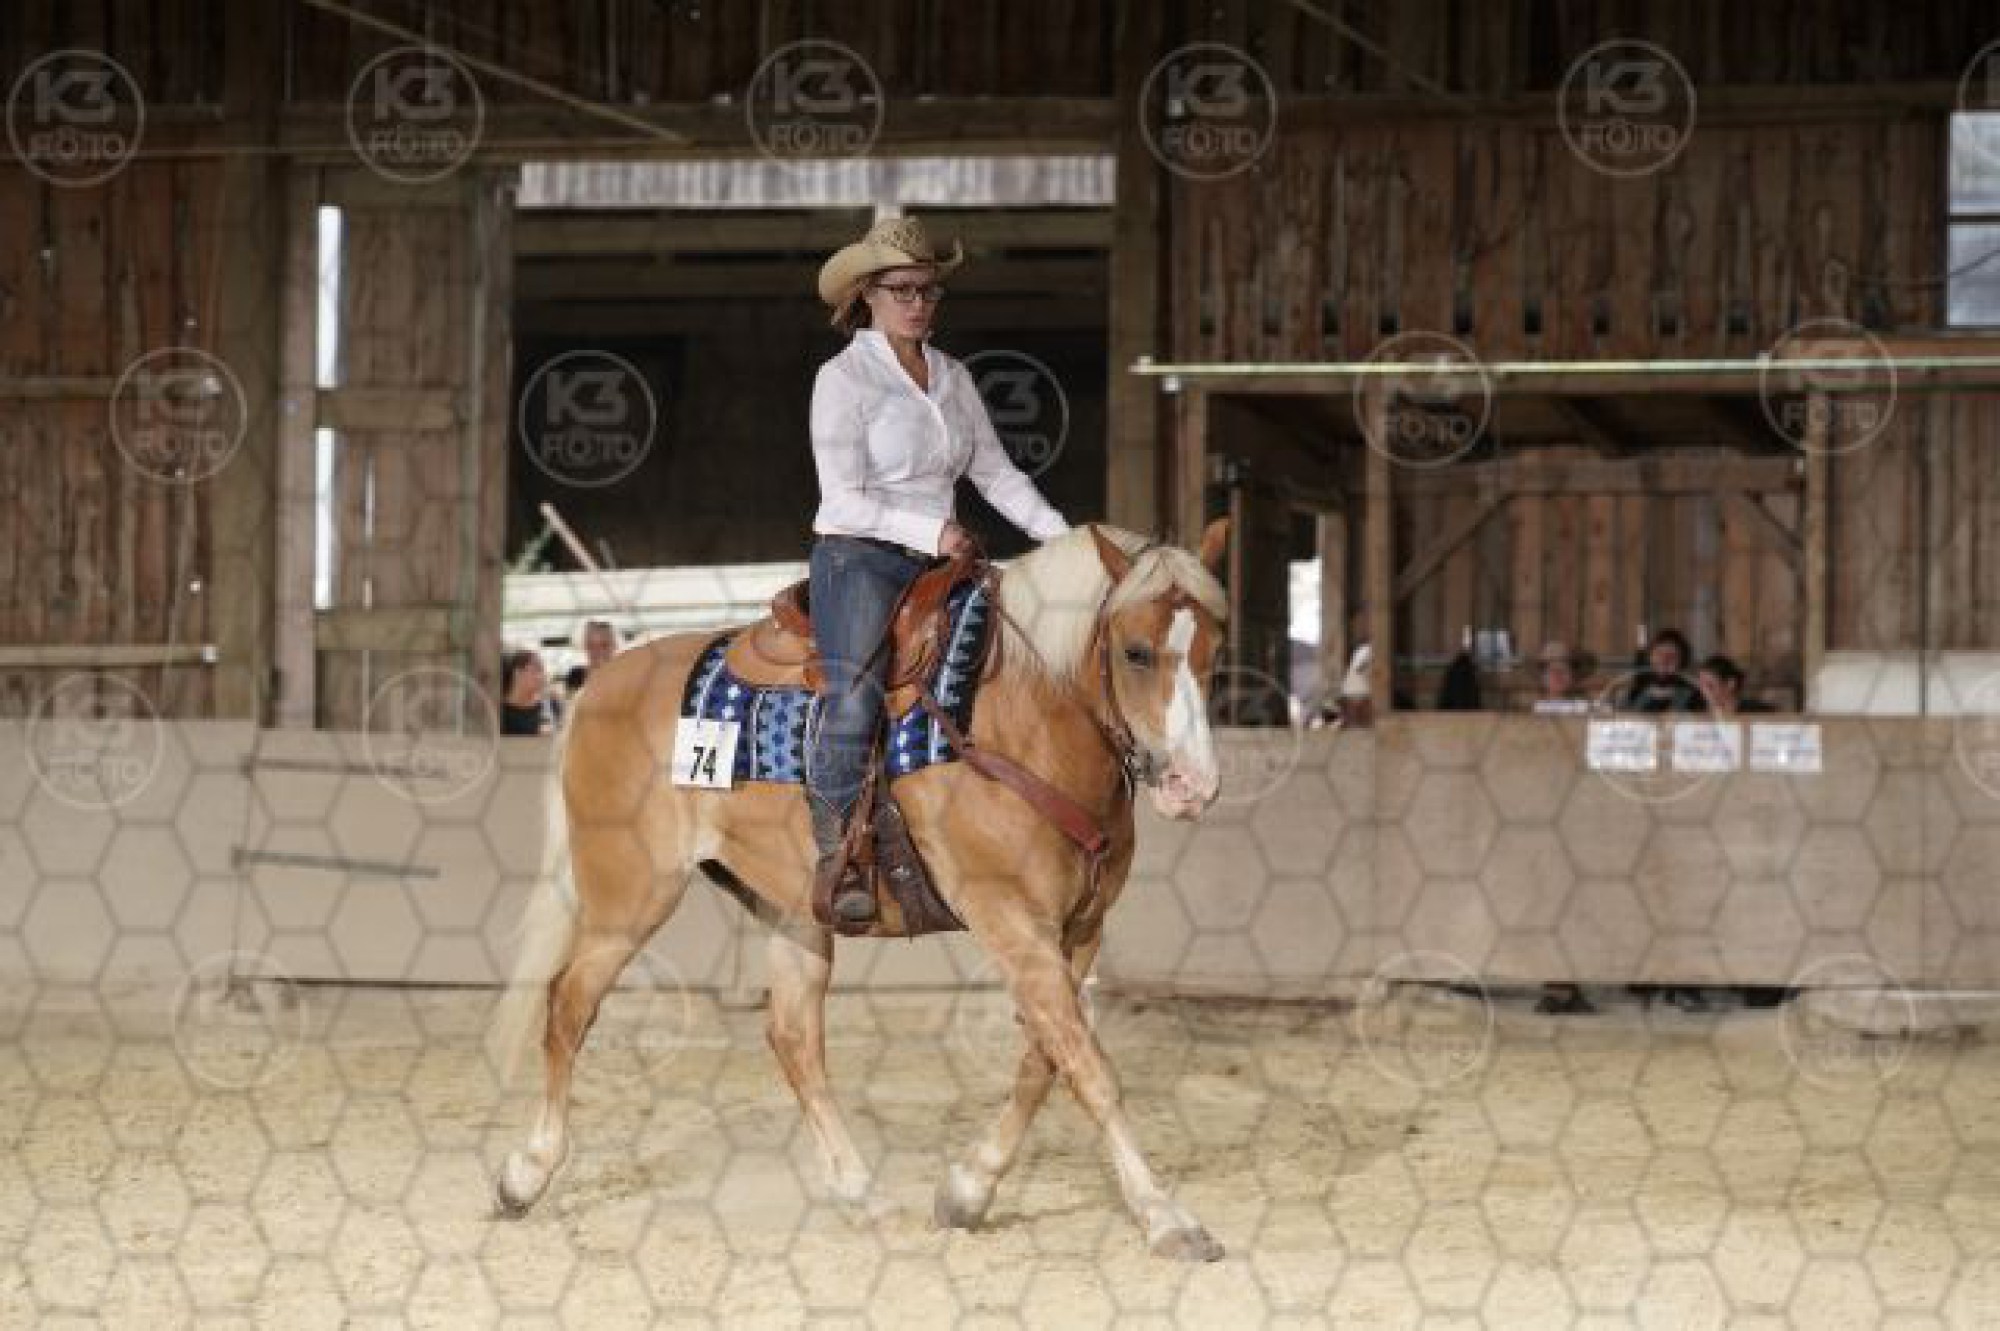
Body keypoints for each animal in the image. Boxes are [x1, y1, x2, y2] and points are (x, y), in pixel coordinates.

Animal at [489, 520, 1233, 1260]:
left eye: (1214, 647)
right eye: (1136, 651)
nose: (1193, 786)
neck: (1019, 715)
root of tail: (599, 685)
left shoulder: (1080, 930)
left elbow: (1045, 1061)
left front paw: (968, 1191)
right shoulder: (1011, 921)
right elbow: (1088, 1064)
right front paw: (1167, 1216)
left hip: (793, 911)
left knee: (793, 1039)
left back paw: (859, 1192)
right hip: (630, 895)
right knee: (568, 1006)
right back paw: (524, 1175)